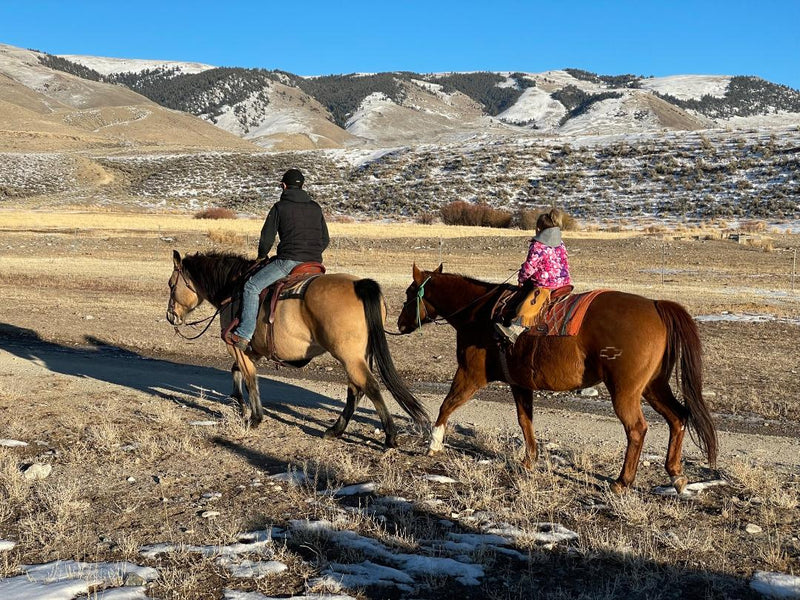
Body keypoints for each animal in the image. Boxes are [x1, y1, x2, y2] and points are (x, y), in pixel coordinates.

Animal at [166, 250, 428, 446]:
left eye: (171, 285)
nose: (170, 316)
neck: (234, 289)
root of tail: (360, 285)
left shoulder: (237, 346)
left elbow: (249, 378)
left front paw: (254, 417)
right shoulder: (253, 351)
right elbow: (237, 372)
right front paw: (239, 403)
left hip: (349, 356)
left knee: (369, 387)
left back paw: (389, 436)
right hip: (359, 355)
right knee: (356, 390)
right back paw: (335, 430)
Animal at [396, 264, 716, 494]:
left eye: (409, 294)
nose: (399, 324)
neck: (479, 313)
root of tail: (655, 306)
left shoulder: (470, 374)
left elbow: (447, 405)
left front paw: (434, 443)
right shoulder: (519, 383)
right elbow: (525, 420)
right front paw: (529, 459)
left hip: (626, 391)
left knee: (637, 429)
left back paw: (622, 482)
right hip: (653, 386)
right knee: (678, 417)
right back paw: (675, 475)